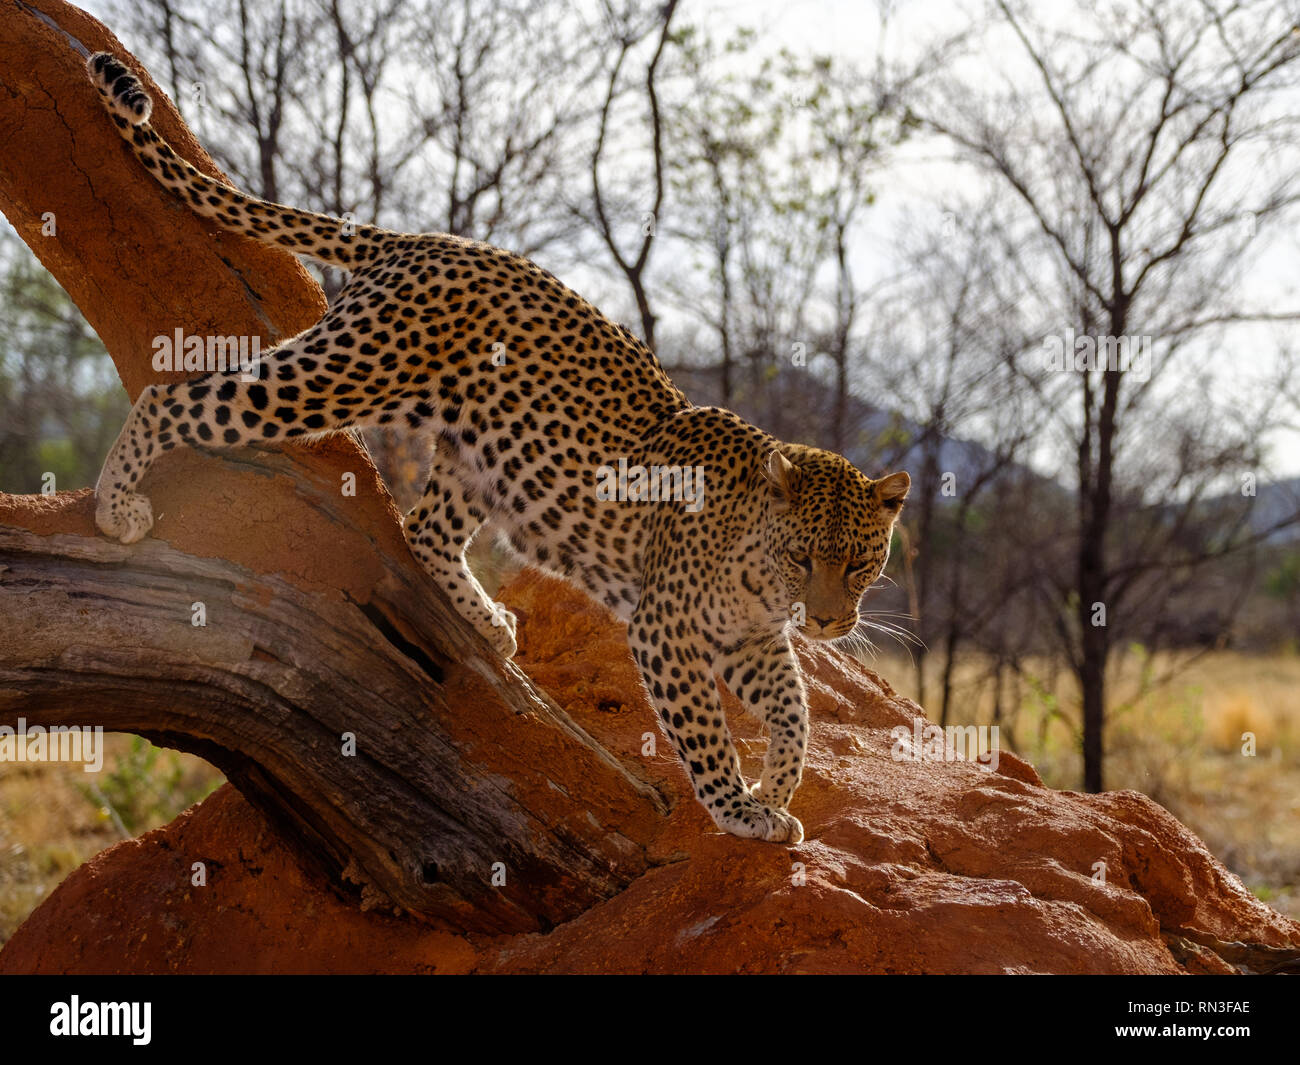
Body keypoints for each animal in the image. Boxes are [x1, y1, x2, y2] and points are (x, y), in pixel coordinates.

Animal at [86, 52, 910, 844]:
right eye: (804, 557)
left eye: (859, 564)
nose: (829, 623)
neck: (761, 572)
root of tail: (424, 240)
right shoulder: (667, 630)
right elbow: (705, 730)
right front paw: (738, 809)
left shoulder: (753, 641)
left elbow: (797, 711)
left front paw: (776, 790)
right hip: (343, 375)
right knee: (175, 398)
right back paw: (115, 507)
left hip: (478, 457)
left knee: (425, 529)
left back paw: (486, 621)